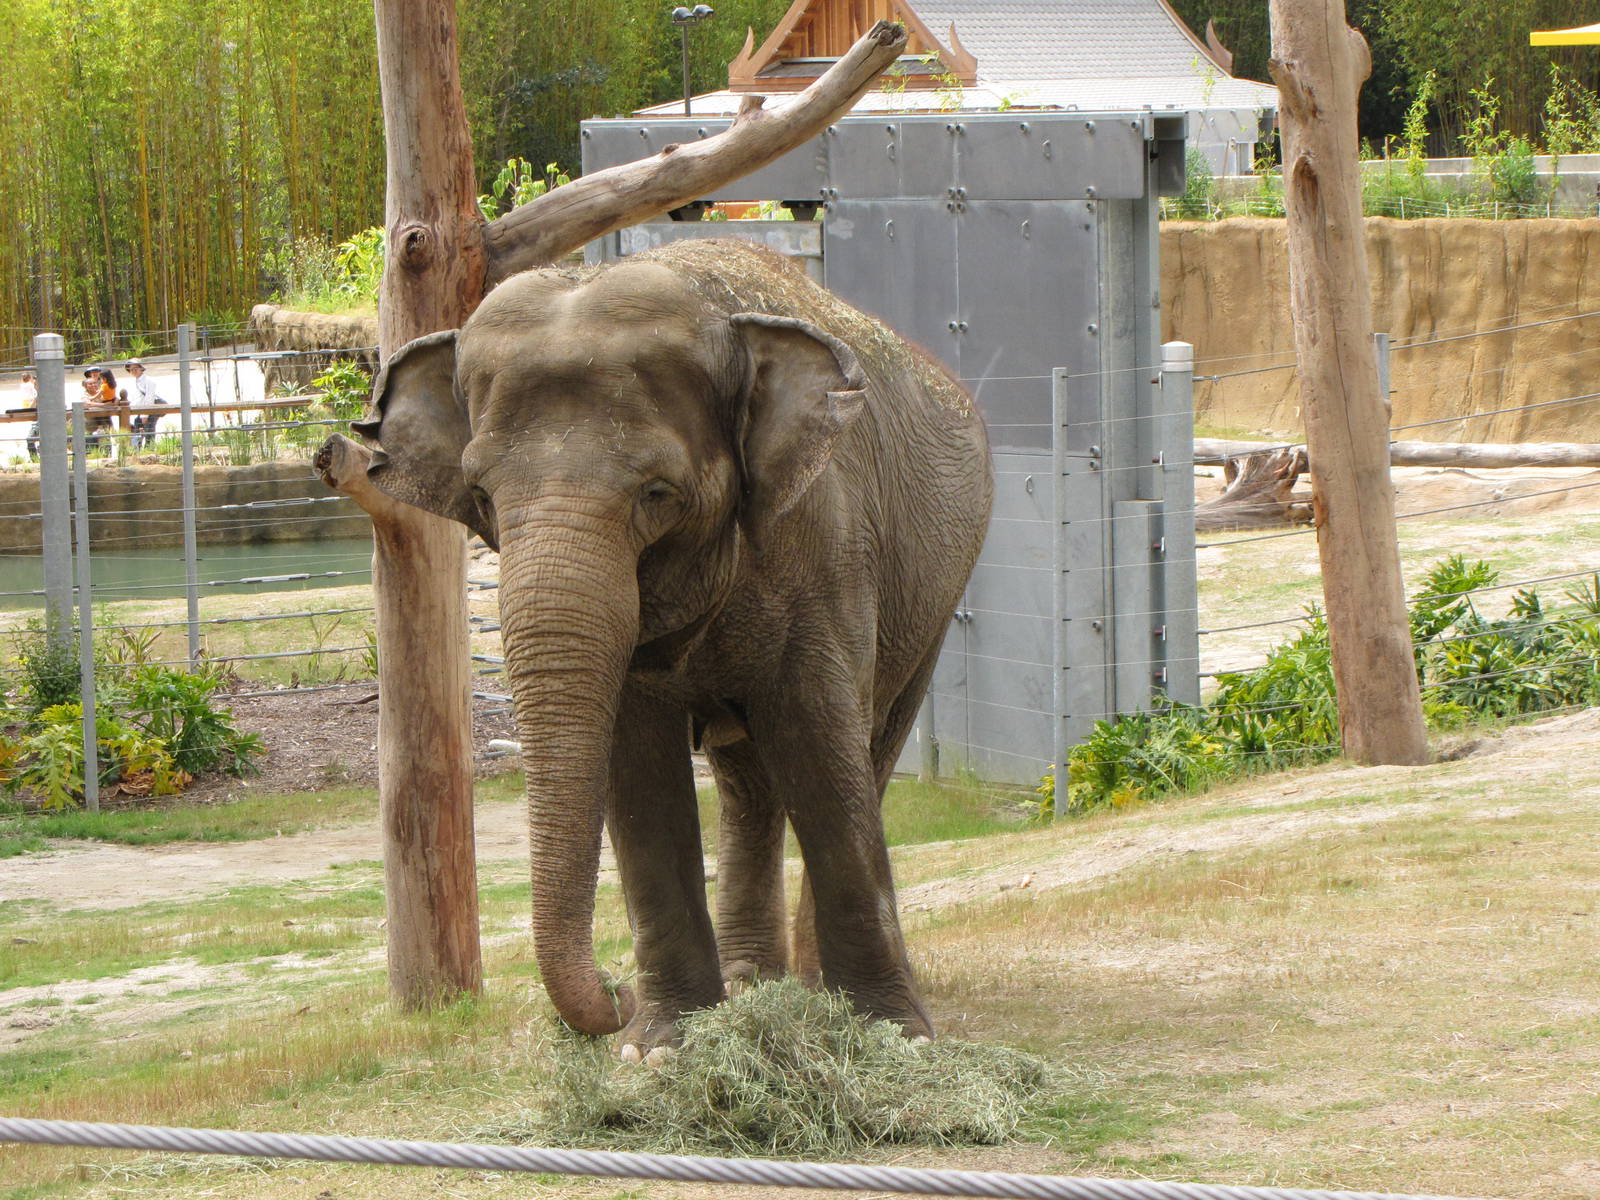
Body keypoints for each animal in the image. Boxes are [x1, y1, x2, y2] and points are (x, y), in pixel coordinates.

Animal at [356, 238, 992, 1058]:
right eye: (483, 498)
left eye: (657, 494)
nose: (613, 992)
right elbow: (639, 768)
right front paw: (660, 1046)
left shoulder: (824, 537)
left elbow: (821, 743)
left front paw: (892, 1037)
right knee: (748, 779)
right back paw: (757, 986)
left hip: (936, 591)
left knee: (872, 745)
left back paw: (810, 985)